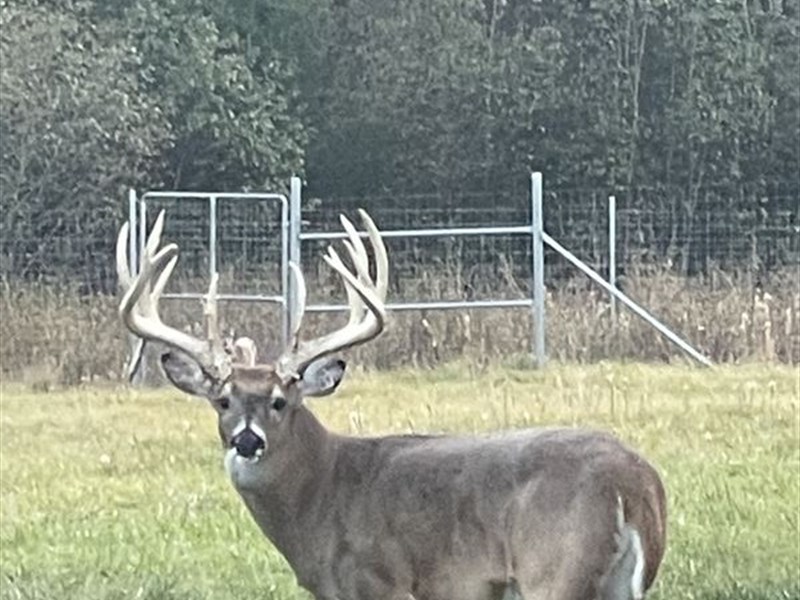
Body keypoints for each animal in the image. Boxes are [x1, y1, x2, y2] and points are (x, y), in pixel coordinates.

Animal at [117, 211, 668, 600]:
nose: (247, 440)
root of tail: (635, 485)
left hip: (554, 569)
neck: (322, 494)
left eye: (280, 401)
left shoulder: (381, 580)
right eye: (222, 400)